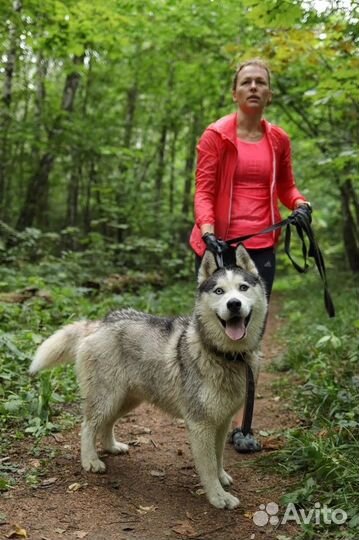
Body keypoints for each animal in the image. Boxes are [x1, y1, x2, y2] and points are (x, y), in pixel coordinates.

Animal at [30, 247, 268, 508]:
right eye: (219, 291)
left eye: (243, 288)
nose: (234, 304)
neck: (227, 356)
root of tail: (102, 322)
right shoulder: (200, 425)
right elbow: (207, 467)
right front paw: (218, 497)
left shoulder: (222, 422)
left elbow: (218, 458)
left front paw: (222, 478)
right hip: (107, 398)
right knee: (87, 426)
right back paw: (90, 461)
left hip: (127, 400)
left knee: (106, 424)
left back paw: (112, 447)